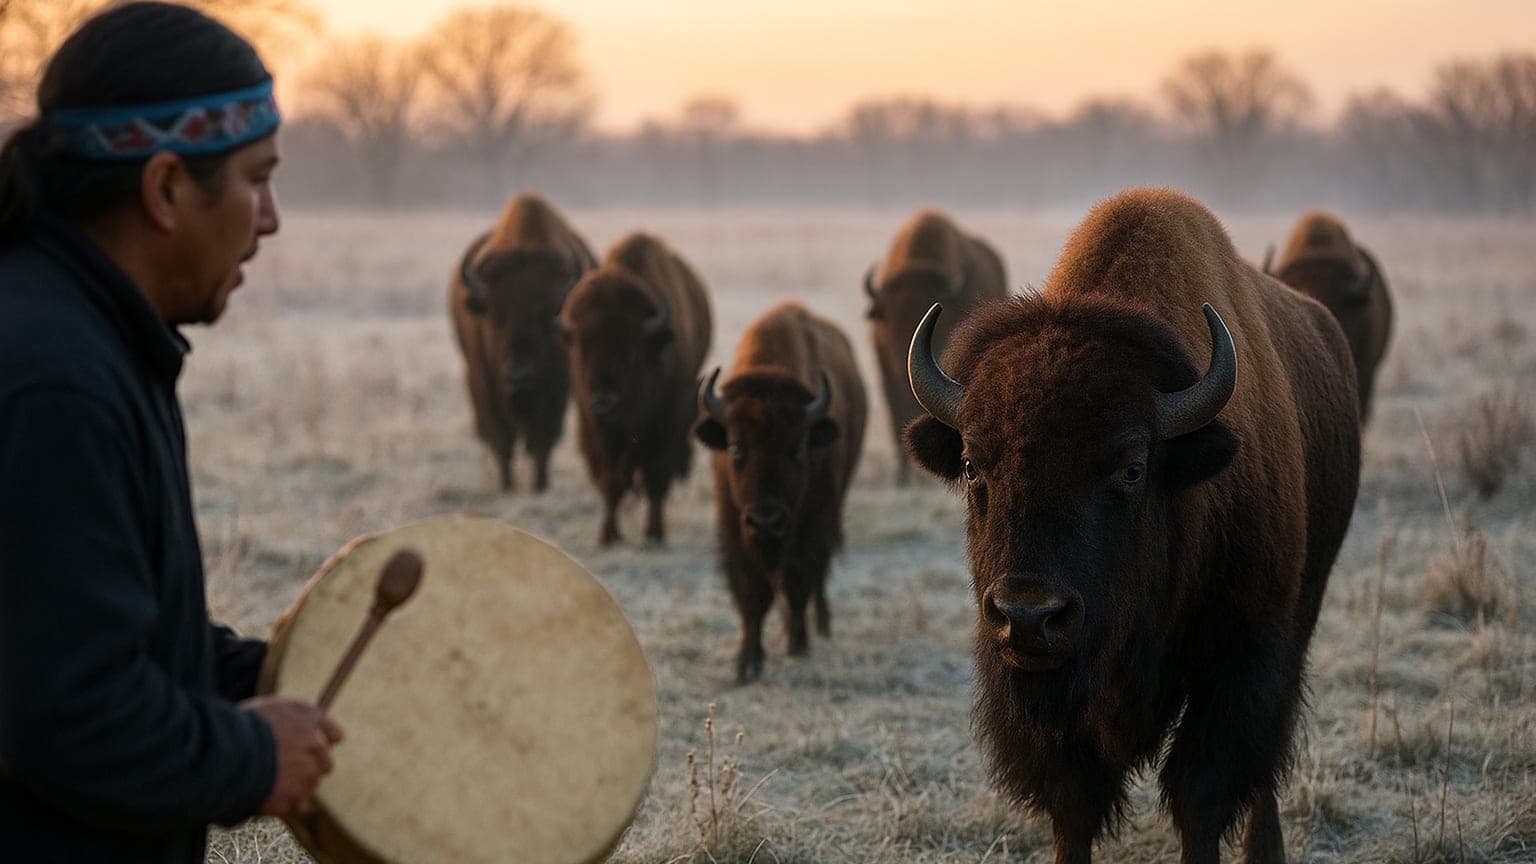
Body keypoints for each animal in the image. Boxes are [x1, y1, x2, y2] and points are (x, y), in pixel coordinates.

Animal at [450, 193, 596, 492]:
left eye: (548, 315)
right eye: (494, 316)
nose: (520, 375)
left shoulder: (556, 391)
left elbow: (542, 443)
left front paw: (539, 487)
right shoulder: (483, 383)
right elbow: (502, 441)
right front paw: (507, 487)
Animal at [561, 232, 712, 546]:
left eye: (630, 353)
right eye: (580, 348)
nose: (604, 402)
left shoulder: (666, 426)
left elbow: (656, 477)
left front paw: (654, 534)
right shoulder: (594, 430)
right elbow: (610, 482)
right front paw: (608, 536)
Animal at [695, 301, 867, 683]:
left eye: (797, 448)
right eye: (735, 447)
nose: (766, 521)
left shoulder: (812, 524)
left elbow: (799, 579)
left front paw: (797, 645)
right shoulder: (734, 526)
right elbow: (752, 593)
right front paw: (747, 663)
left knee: (815, 579)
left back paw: (817, 625)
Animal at [864, 209, 1007, 484]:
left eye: (945, 325)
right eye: (889, 321)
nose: (902, 359)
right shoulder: (887, 374)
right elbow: (896, 415)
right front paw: (902, 477)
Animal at [904, 187, 1360, 864]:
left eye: (1132, 467)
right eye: (970, 463)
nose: (1030, 616)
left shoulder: (1240, 662)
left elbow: (1203, 795)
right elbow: (1074, 804)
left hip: (1302, 613)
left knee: (1264, 772)